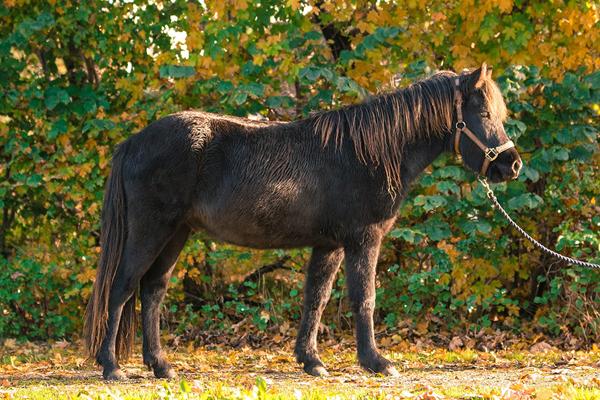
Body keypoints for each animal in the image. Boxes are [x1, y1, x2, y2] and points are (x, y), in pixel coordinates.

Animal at [83, 63, 520, 382]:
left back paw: (161, 366)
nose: (511, 165)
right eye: (483, 113)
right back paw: (112, 367)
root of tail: (134, 142)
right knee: (121, 288)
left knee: (152, 291)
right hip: (151, 231)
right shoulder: (363, 240)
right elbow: (364, 299)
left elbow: (316, 299)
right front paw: (376, 362)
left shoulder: (329, 245)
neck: (368, 152)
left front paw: (312, 361)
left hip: (176, 235)